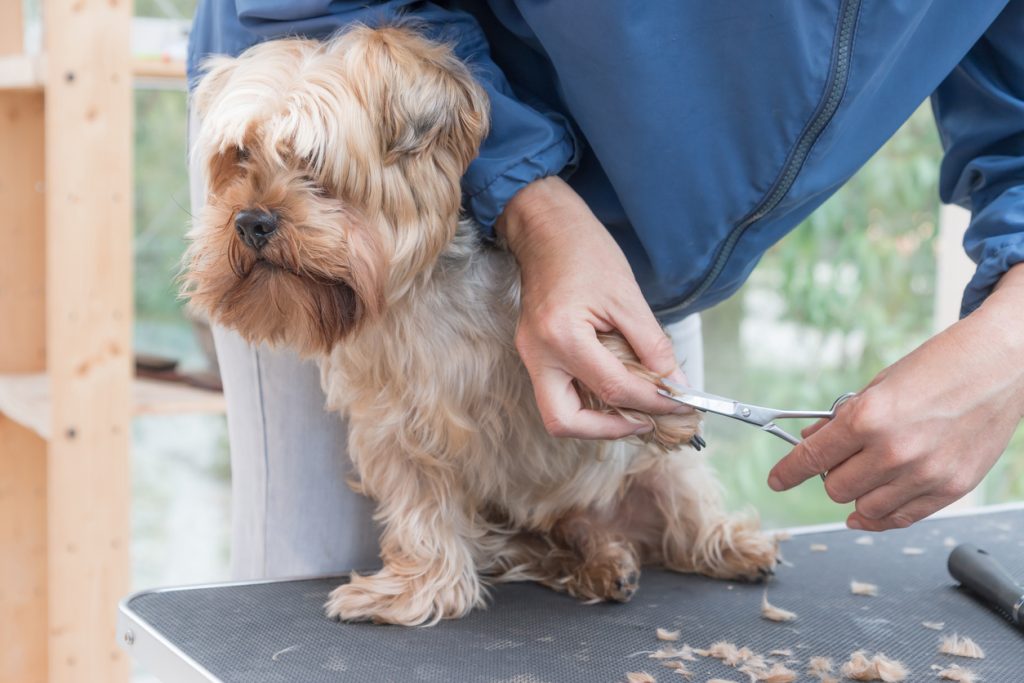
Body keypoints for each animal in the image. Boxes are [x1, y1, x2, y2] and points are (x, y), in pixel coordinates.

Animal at [184, 25, 774, 626]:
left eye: (314, 162)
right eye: (239, 156)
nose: (250, 221)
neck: (416, 299)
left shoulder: (539, 307)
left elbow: (595, 345)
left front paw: (649, 400)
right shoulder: (395, 424)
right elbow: (418, 506)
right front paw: (413, 591)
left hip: (660, 476)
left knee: (685, 511)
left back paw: (727, 546)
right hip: (518, 526)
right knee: (550, 538)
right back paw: (600, 562)